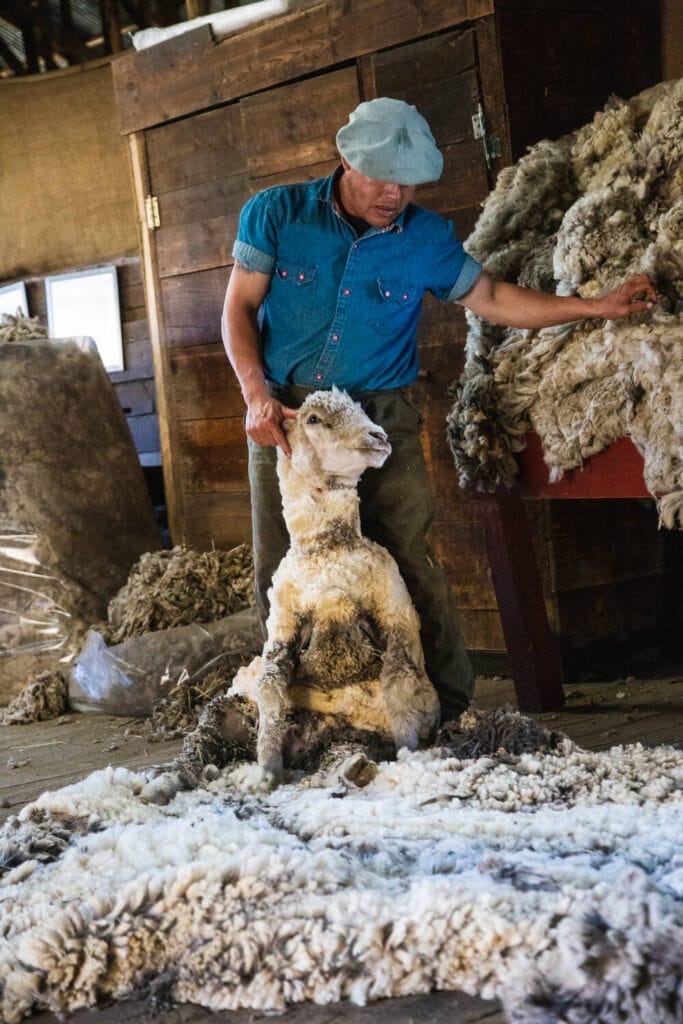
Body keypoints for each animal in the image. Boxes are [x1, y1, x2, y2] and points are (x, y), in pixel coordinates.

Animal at [141, 388, 439, 802]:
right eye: (313, 419)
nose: (378, 436)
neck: (324, 552)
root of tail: (303, 747)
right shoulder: (281, 626)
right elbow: (270, 688)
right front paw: (267, 770)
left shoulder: (395, 614)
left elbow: (399, 682)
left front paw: (410, 753)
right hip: (224, 712)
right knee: (192, 755)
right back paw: (160, 786)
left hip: (351, 736)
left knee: (341, 754)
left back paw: (353, 770)